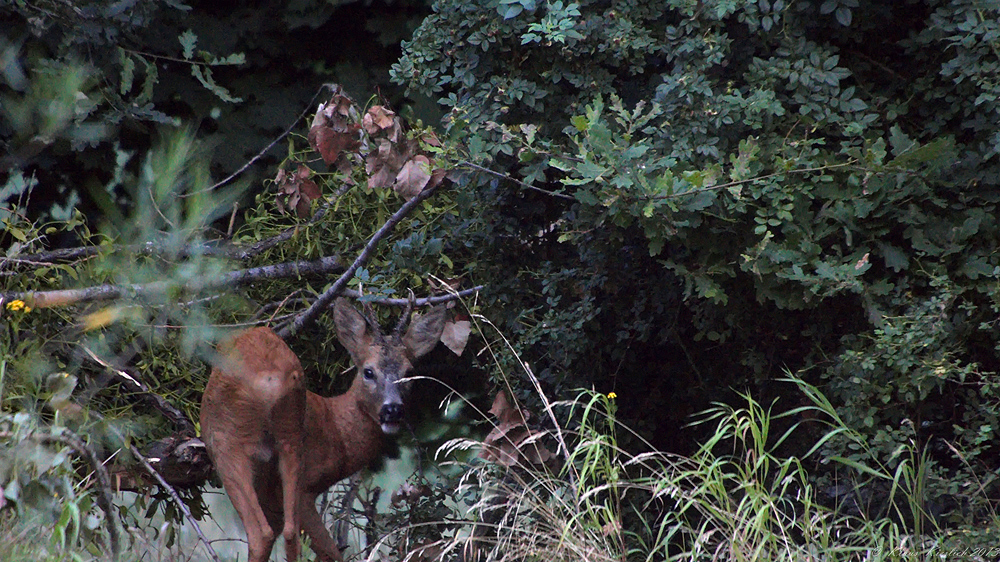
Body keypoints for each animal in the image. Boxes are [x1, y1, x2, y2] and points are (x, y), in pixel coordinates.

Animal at [201, 298, 448, 560]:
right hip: (289, 436)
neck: (335, 428)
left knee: (262, 535)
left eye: (409, 372)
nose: (393, 409)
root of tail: (268, 381)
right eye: (368, 371)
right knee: (289, 532)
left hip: (228, 444)